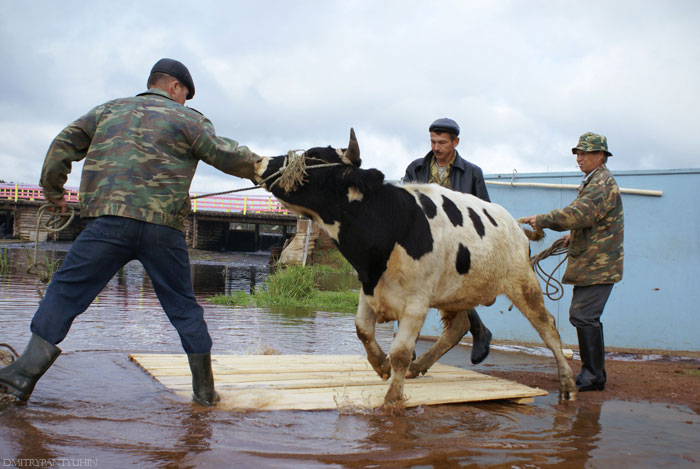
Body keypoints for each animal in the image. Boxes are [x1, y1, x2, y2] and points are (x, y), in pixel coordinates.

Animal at [254, 129, 576, 406]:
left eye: (312, 157)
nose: (260, 161)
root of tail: (516, 226)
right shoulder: (369, 288)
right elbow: (363, 331)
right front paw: (381, 366)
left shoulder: (415, 303)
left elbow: (400, 351)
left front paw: (392, 399)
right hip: (456, 291)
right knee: (458, 326)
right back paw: (419, 365)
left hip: (522, 281)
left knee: (548, 327)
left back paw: (568, 384)